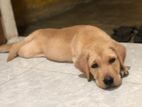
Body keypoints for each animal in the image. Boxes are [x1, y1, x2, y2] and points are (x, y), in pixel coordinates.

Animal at [0, 25, 129, 88]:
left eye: (112, 60)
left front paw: (123, 68)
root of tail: (35, 33)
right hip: (27, 51)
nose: (108, 81)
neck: (94, 39)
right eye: (94, 66)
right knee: (16, 46)